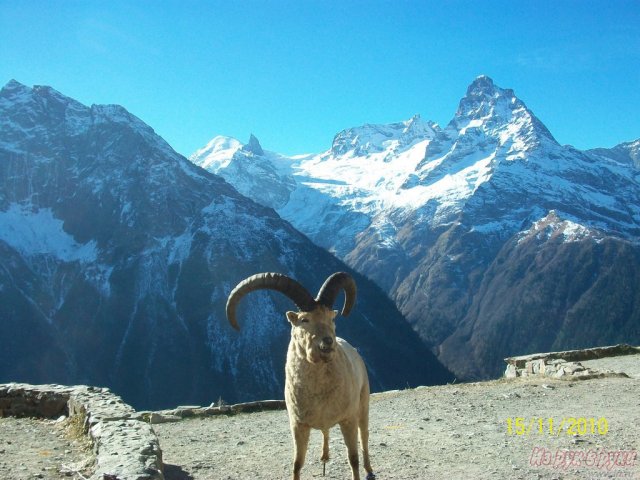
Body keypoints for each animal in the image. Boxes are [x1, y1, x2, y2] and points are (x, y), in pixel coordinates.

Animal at [226, 272, 372, 478]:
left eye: (331, 318)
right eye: (304, 320)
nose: (328, 342)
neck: (319, 394)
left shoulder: (348, 420)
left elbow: (353, 459)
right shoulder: (298, 425)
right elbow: (297, 463)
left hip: (363, 404)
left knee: (364, 436)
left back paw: (369, 469)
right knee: (326, 433)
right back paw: (324, 457)